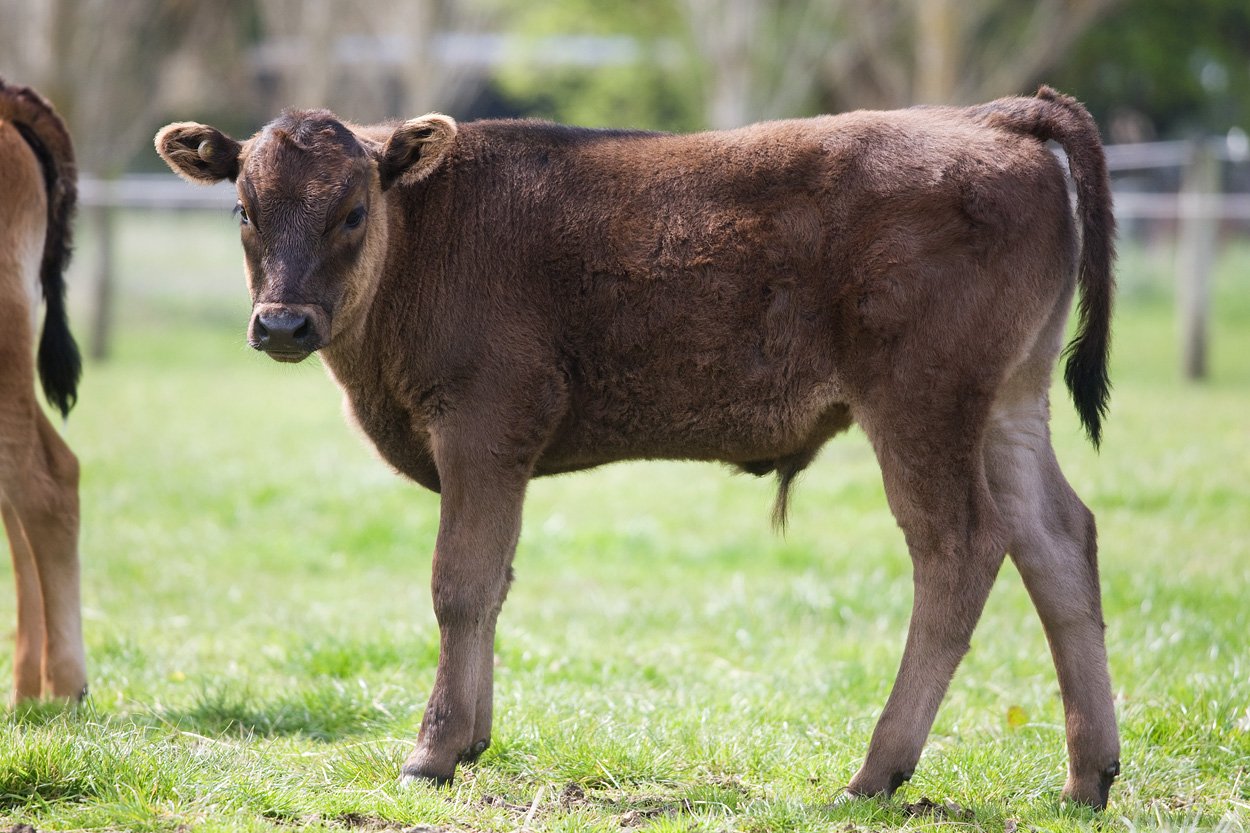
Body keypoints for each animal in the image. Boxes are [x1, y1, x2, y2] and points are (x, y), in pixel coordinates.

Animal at [156, 87, 1125, 805]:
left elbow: (459, 585)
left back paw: (875, 772)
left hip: (922, 406)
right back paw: (1088, 777)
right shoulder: (500, 458)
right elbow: (494, 583)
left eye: (354, 209)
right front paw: (472, 739)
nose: (283, 323)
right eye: (243, 208)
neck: (430, 231)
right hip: (1008, 408)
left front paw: (431, 753)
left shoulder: (483, 425)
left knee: (961, 547)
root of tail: (996, 116)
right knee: (1059, 540)